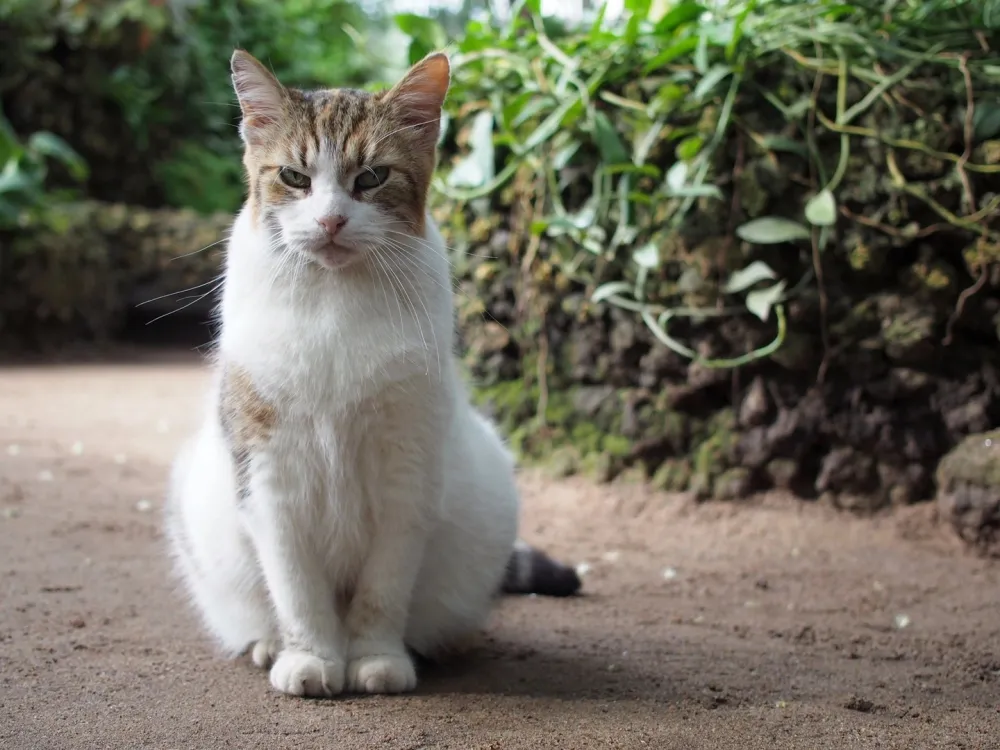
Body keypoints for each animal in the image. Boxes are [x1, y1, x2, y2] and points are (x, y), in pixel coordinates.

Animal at [166, 50, 580, 704]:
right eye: (294, 177)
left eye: (371, 178)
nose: (331, 220)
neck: (335, 304)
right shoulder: (268, 475)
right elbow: (297, 589)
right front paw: (309, 656)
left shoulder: (406, 471)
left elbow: (383, 589)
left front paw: (375, 659)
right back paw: (267, 644)